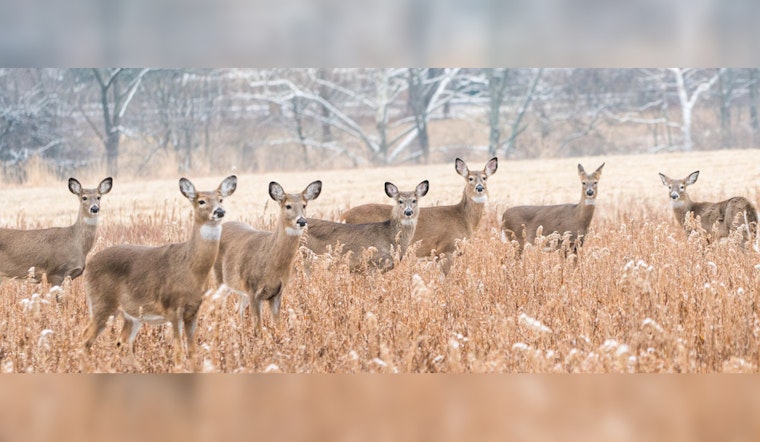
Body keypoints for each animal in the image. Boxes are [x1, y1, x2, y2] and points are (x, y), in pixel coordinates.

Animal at [81, 175, 237, 371]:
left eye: (221, 199)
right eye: (201, 201)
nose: (220, 211)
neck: (190, 268)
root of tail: (88, 264)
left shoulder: (193, 310)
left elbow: (192, 351)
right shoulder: (172, 308)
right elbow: (178, 352)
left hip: (131, 314)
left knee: (122, 342)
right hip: (101, 304)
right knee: (85, 340)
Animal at [214, 180, 322, 335]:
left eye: (304, 205)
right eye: (288, 206)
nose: (301, 221)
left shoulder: (277, 293)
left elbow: (278, 325)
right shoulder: (253, 290)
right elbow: (258, 328)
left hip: (240, 287)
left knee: (237, 309)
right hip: (220, 279)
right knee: (218, 307)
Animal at [340, 157, 497, 271]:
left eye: (485, 177)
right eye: (470, 178)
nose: (480, 188)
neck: (464, 218)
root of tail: (343, 216)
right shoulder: (446, 248)